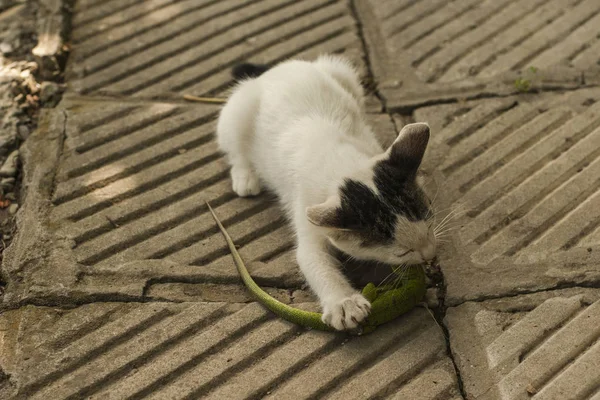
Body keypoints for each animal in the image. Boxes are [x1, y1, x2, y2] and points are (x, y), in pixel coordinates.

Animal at [216, 54, 436, 330]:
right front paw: (343, 303)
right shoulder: (306, 208)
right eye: (403, 252)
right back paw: (245, 175)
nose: (429, 254)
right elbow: (311, 258)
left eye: (430, 223)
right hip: (237, 112)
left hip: (342, 73)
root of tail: (277, 68)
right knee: (235, 146)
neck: (339, 162)